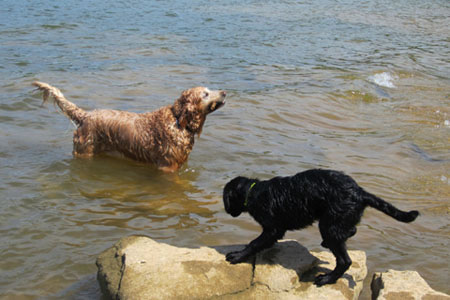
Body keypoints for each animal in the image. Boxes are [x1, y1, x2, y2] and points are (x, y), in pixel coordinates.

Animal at [33, 81, 227, 171]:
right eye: (205, 94)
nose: (224, 92)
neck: (179, 121)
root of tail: (85, 115)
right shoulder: (167, 166)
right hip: (84, 151)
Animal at [223, 169, 420, 286]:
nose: (227, 211)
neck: (254, 192)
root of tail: (360, 192)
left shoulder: (272, 228)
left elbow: (254, 243)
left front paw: (237, 256)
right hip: (335, 222)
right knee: (350, 231)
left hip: (329, 225)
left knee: (344, 260)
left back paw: (327, 279)